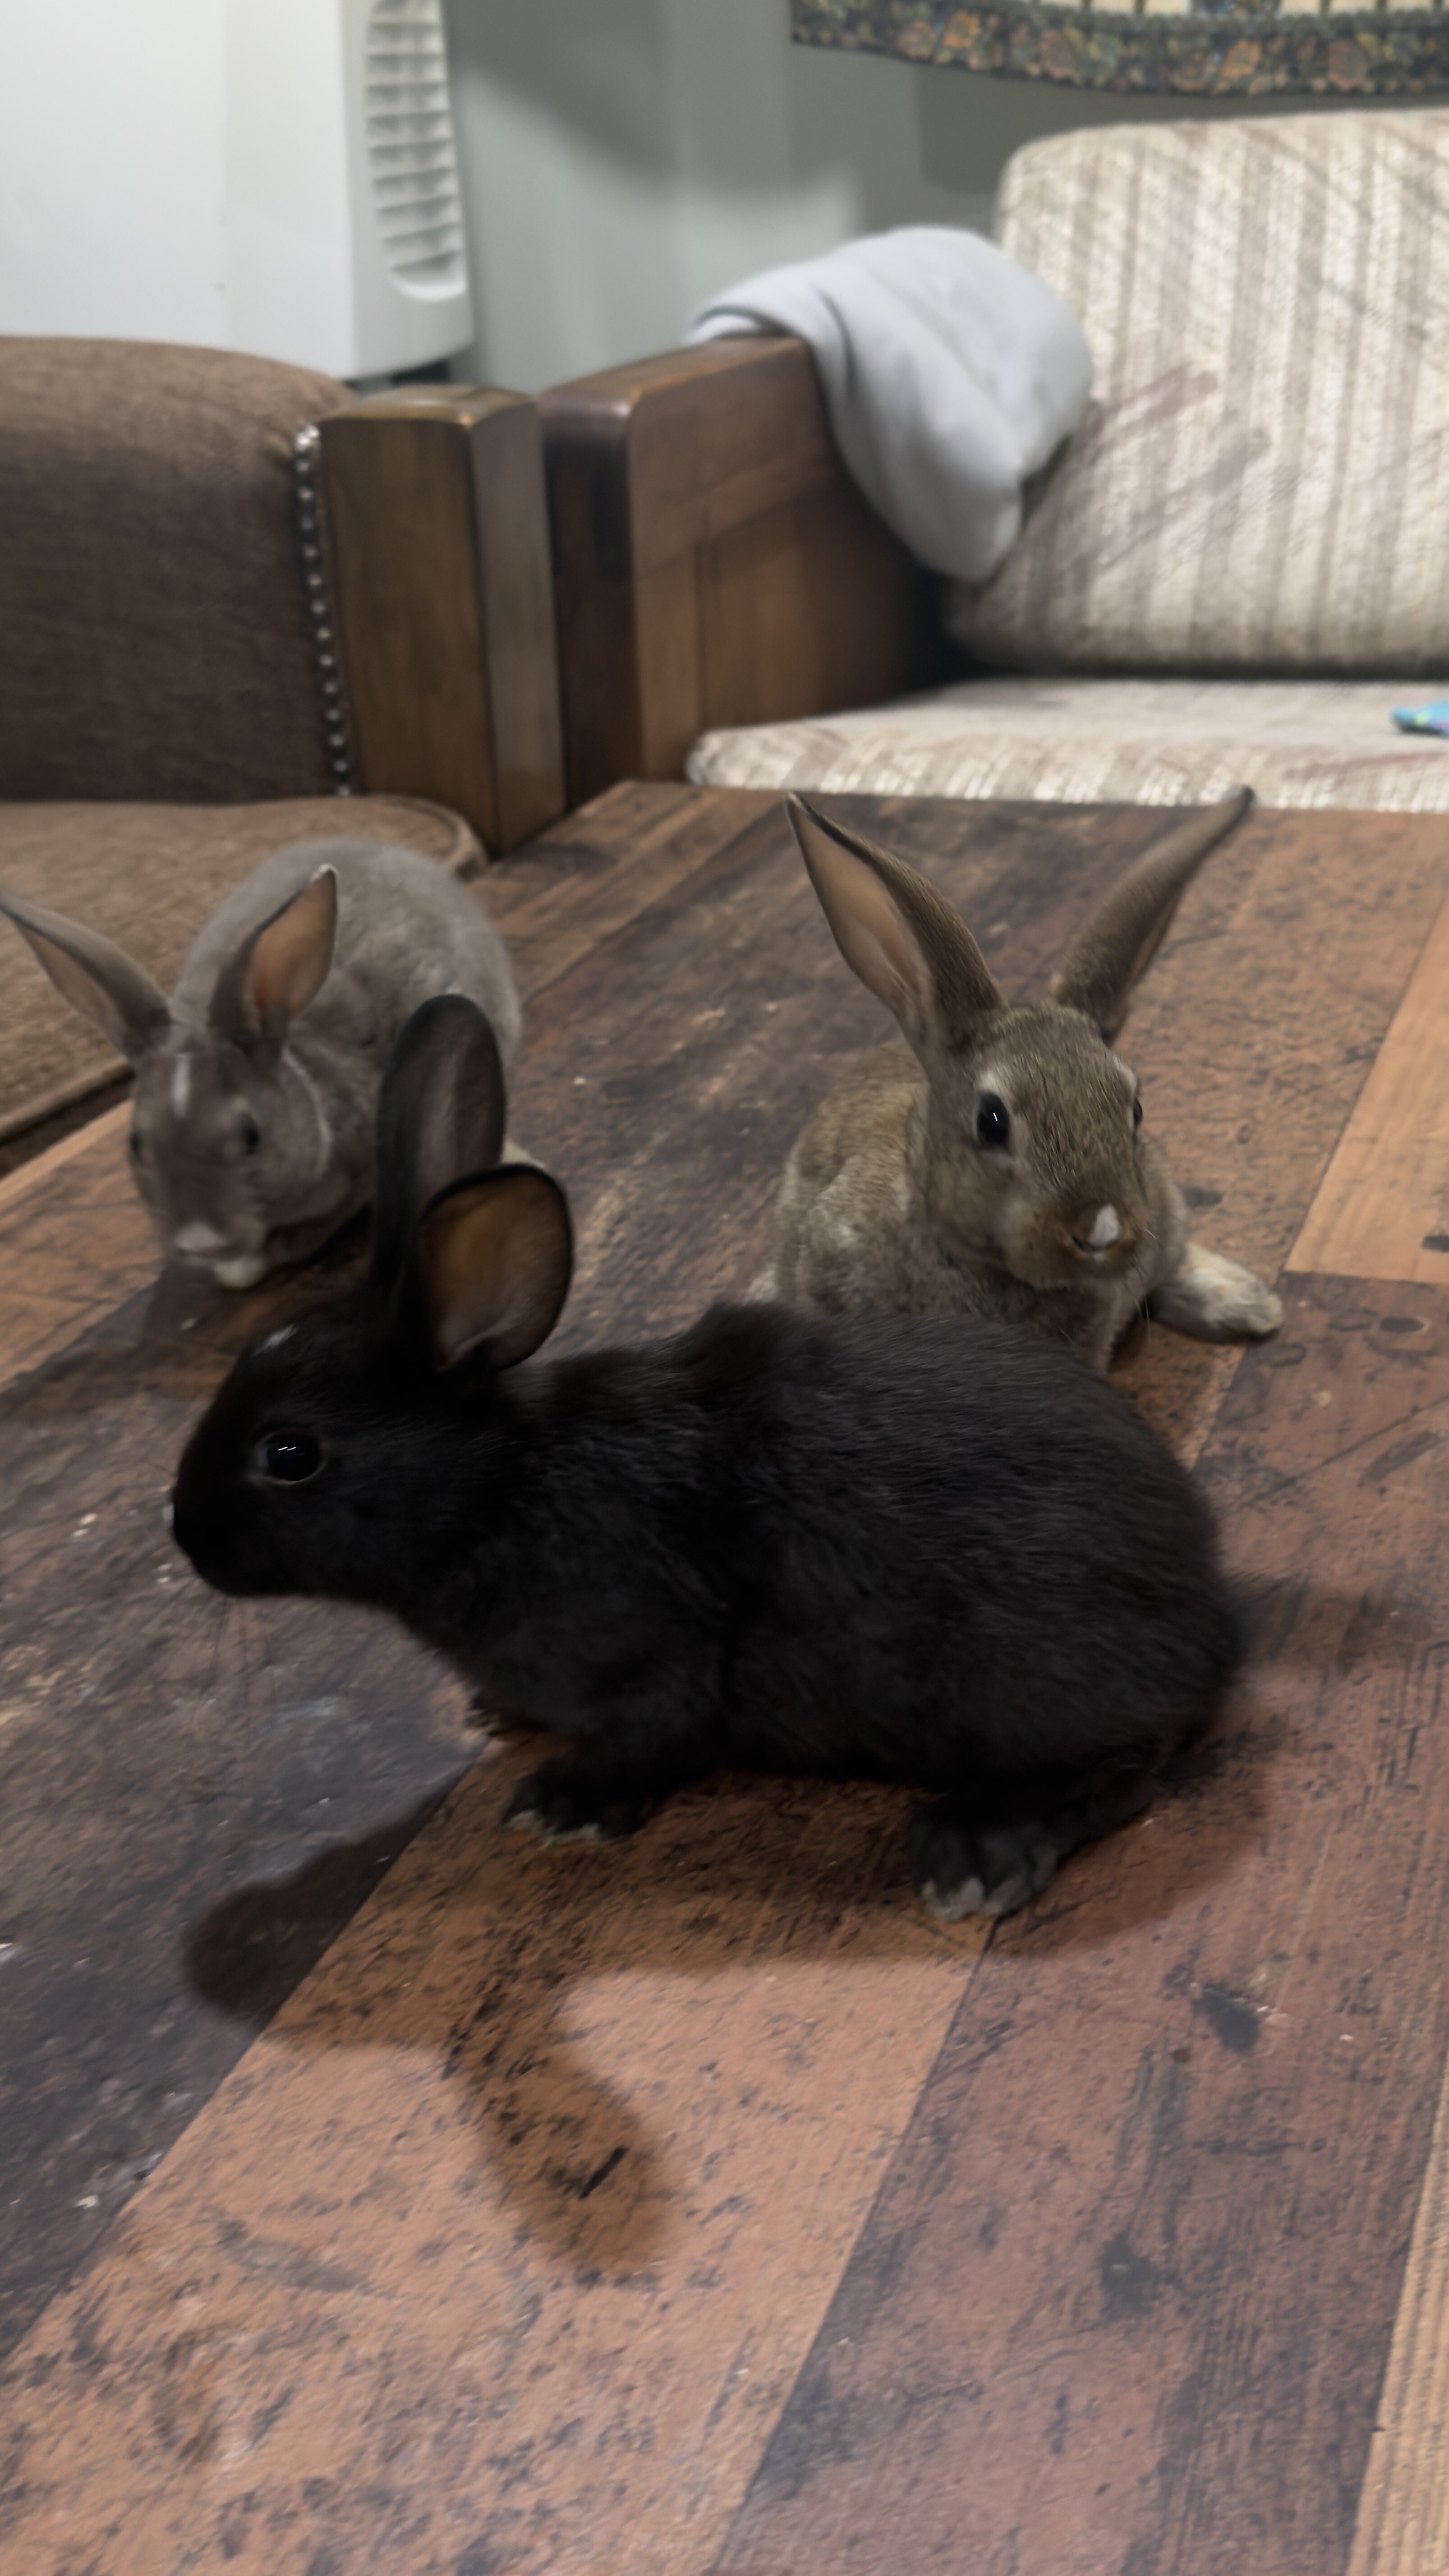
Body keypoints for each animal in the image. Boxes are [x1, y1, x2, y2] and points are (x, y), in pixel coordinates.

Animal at [171, 993, 1242, 1923]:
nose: (185, 1536)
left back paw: (975, 1853)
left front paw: (559, 1807)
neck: (499, 1491)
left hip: (1024, 1691)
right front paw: (495, 1713)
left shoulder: (660, 1665)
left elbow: (649, 1740)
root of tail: (1208, 1611)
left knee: (1117, 1775)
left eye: (289, 1454)